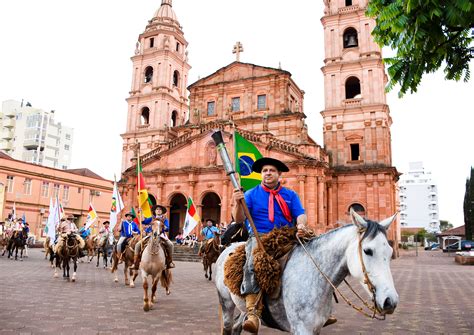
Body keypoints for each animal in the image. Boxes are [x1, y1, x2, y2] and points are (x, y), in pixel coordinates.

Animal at [216, 210, 400, 335]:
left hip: (242, 309)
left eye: (390, 252)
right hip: (226, 303)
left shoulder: (315, 327)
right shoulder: (301, 328)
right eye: (368, 251)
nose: (390, 301)